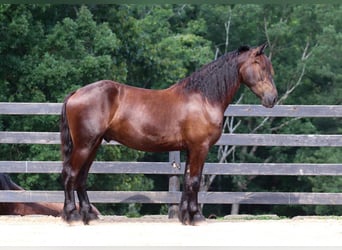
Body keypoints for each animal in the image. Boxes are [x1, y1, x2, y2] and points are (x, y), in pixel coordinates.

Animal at [59, 43, 278, 225]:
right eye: (261, 66)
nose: (273, 98)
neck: (203, 99)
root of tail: (76, 93)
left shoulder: (190, 149)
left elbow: (188, 180)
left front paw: (185, 216)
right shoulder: (200, 148)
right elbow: (195, 181)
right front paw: (196, 217)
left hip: (93, 145)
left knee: (81, 178)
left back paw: (89, 215)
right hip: (85, 145)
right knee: (71, 174)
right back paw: (73, 215)